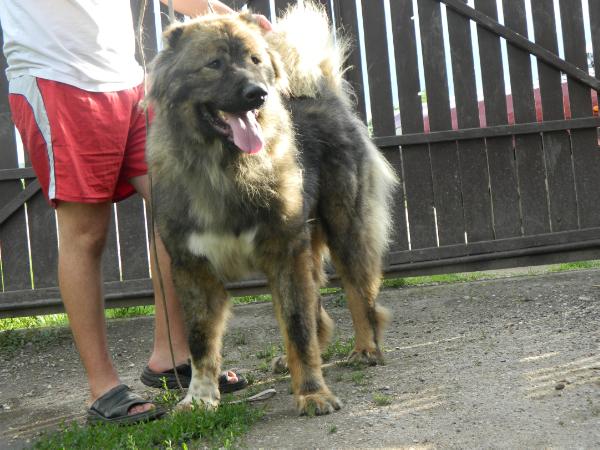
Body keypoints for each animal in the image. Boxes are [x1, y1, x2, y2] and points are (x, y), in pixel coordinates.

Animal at [146, 0, 398, 414]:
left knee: (361, 293)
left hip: (345, 228)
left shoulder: (284, 252)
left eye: (254, 59)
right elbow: (201, 340)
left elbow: (297, 326)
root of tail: (322, 92)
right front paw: (200, 398)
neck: (225, 168)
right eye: (214, 63)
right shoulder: (193, 267)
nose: (258, 93)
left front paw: (312, 392)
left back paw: (366, 349)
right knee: (320, 308)